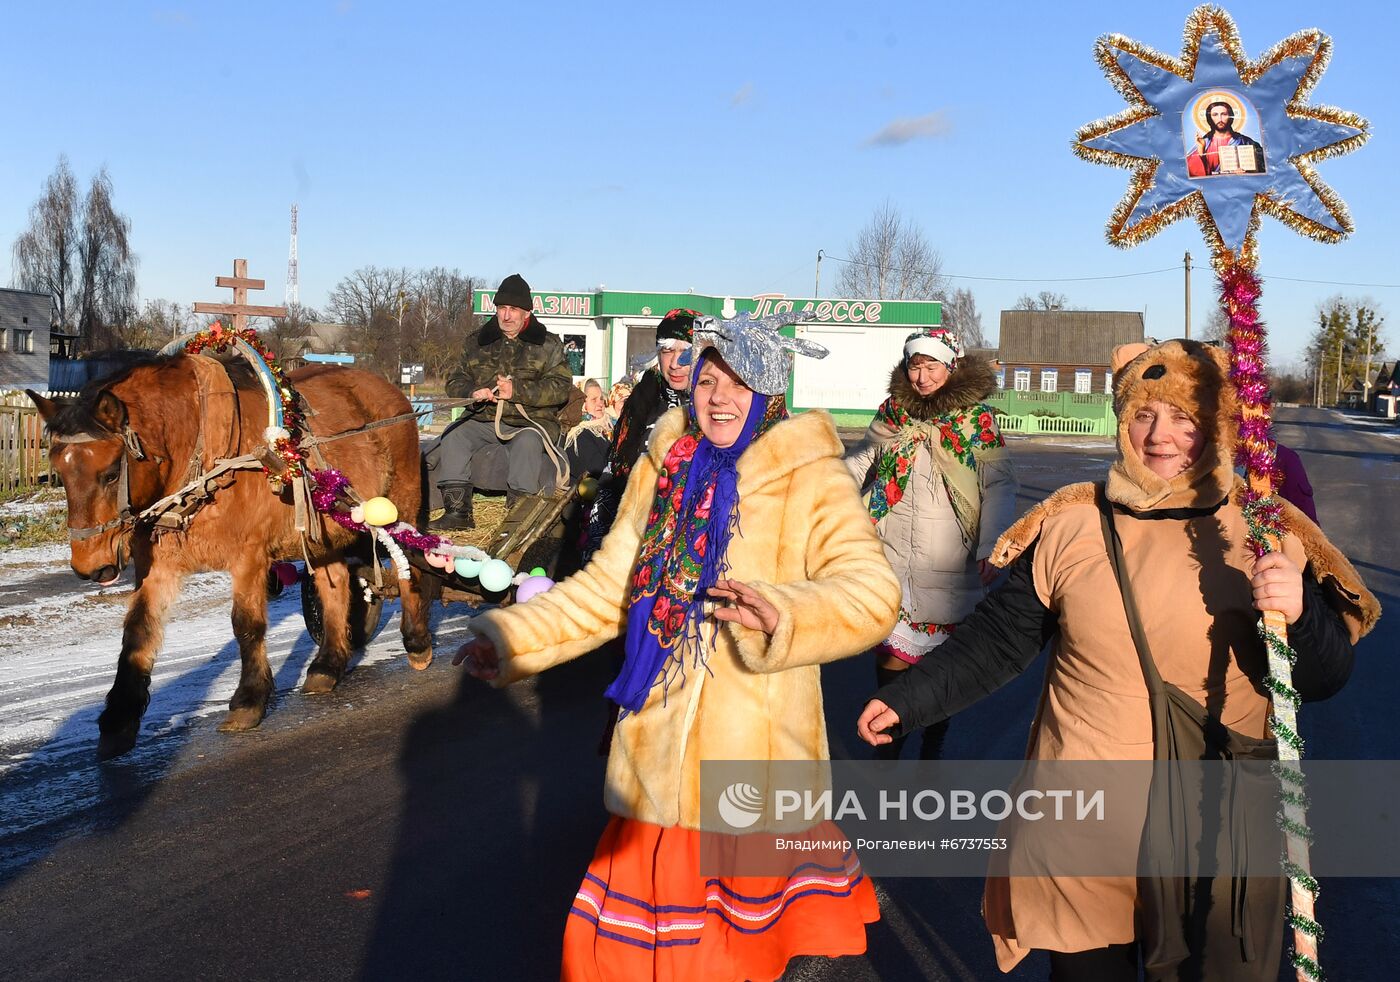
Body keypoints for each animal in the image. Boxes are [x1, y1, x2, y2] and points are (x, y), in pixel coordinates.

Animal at [25, 353, 431, 756]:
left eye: (110, 474)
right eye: (59, 472)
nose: (89, 566)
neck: (203, 456)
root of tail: (392, 393)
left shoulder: (249, 556)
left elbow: (246, 625)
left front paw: (249, 699)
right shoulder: (157, 565)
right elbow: (138, 632)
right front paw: (119, 718)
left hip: (402, 503)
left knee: (410, 567)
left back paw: (416, 641)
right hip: (322, 531)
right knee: (335, 585)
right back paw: (328, 665)